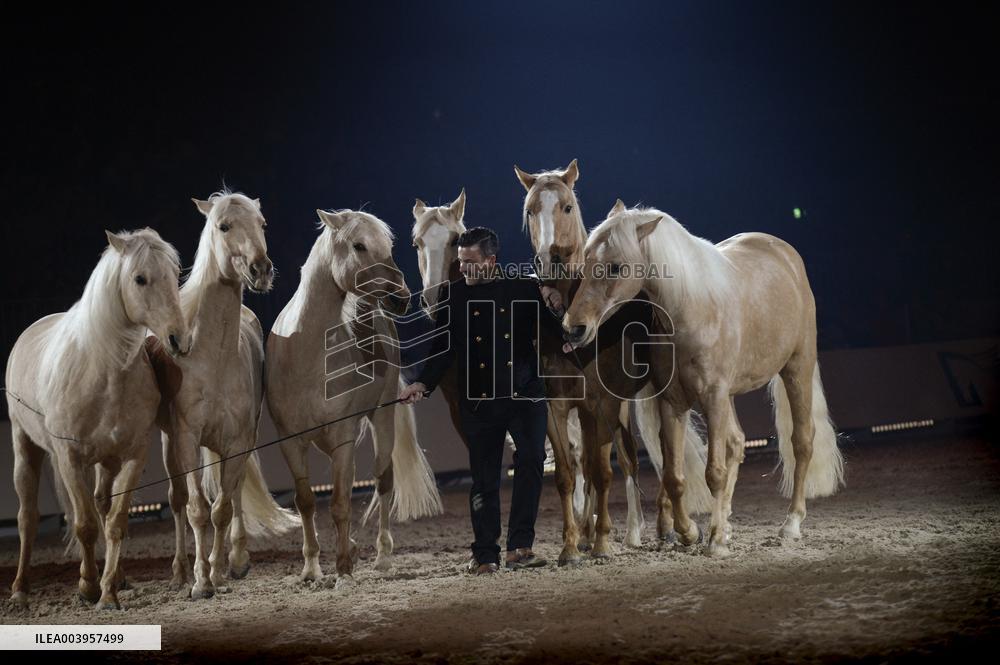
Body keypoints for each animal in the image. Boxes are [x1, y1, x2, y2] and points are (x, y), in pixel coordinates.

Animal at [6, 228, 189, 609]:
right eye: (139, 278)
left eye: (175, 273)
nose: (178, 339)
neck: (102, 374)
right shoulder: (69, 458)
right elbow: (84, 525)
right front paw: (88, 585)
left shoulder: (132, 456)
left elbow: (115, 522)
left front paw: (107, 592)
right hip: (25, 448)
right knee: (28, 518)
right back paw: (20, 588)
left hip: (106, 462)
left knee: (103, 507)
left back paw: (117, 578)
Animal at [149, 191, 299, 600]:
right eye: (224, 226)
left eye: (262, 224)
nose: (260, 269)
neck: (211, 356)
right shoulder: (186, 438)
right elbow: (198, 510)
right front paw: (200, 581)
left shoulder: (237, 441)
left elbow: (223, 509)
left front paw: (218, 571)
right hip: (170, 444)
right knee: (177, 501)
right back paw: (179, 572)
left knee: (232, 496)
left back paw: (234, 561)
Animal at [266, 208, 442, 588]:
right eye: (359, 245)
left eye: (388, 245)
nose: (401, 298)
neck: (308, 355)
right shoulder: (290, 443)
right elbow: (306, 502)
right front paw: (311, 568)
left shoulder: (342, 441)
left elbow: (341, 503)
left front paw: (344, 569)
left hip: (382, 420)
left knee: (383, 480)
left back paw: (382, 556)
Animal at [515, 160, 712, 564]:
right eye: (529, 211)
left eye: (567, 206)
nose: (548, 260)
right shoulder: (559, 407)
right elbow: (569, 474)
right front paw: (572, 545)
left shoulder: (603, 403)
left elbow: (603, 471)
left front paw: (603, 542)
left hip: (646, 397)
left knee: (653, 455)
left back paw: (659, 528)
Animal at [563, 201, 845, 556]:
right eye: (586, 261)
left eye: (615, 267)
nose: (573, 328)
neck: (691, 309)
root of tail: (784, 254)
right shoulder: (674, 402)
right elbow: (674, 476)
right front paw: (691, 532)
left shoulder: (712, 397)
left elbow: (714, 473)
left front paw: (714, 542)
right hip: (732, 395)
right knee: (736, 443)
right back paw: (725, 524)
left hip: (797, 369)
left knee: (802, 442)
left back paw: (791, 524)